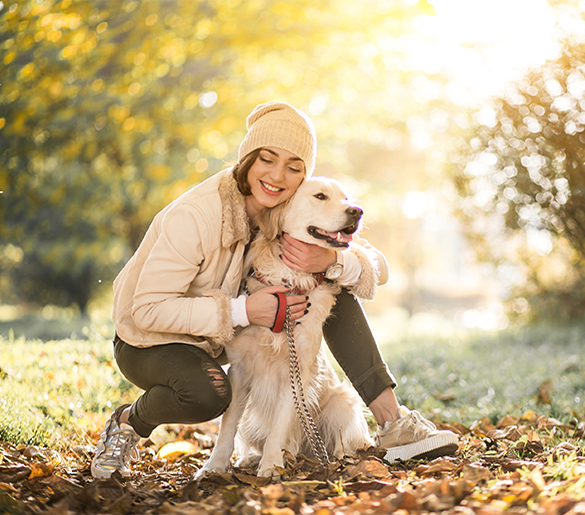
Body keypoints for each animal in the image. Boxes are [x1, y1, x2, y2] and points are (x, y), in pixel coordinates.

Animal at [200, 177, 374, 480]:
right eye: (320, 196)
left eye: (345, 198)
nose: (357, 211)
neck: (289, 282)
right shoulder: (239, 371)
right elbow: (228, 426)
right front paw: (214, 467)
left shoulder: (297, 371)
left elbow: (279, 425)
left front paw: (270, 466)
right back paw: (254, 459)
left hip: (341, 401)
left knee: (342, 438)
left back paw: (336, 456)